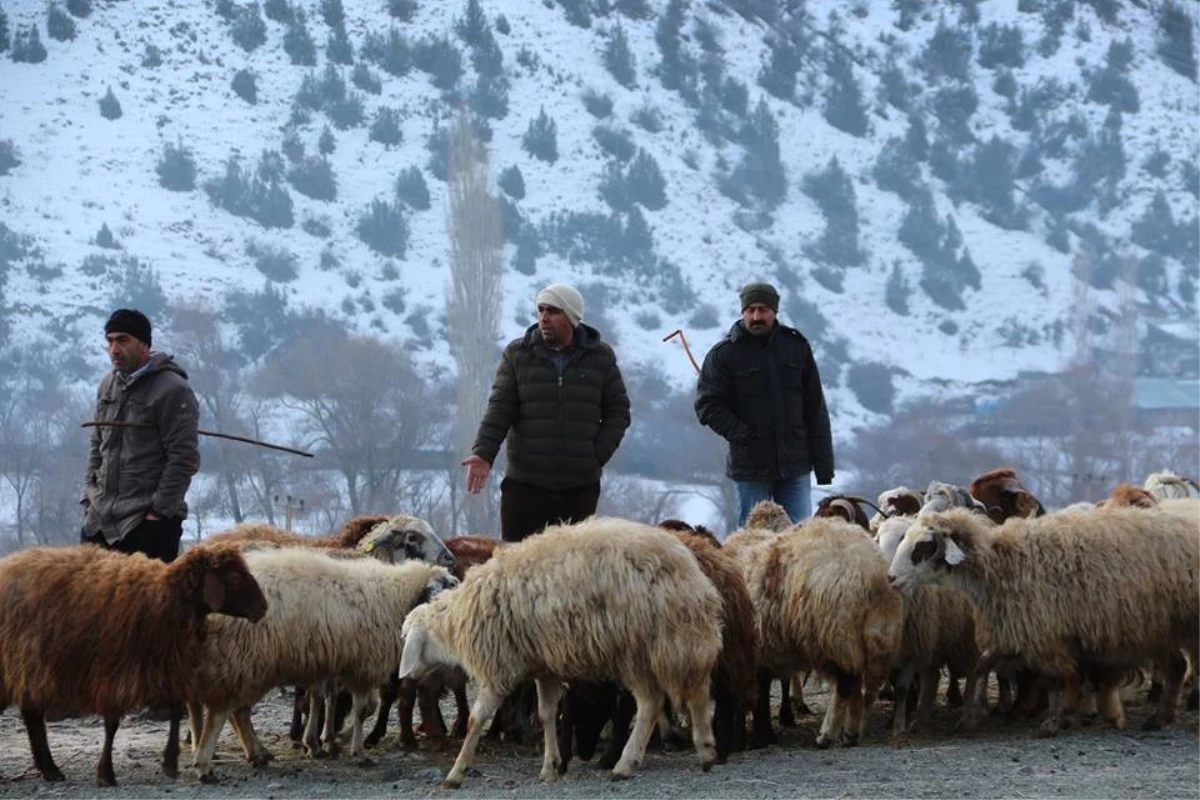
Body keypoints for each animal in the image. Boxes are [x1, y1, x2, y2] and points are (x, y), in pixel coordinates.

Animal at [0, 542, 265, 786]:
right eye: (233, 577)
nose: (263, 608)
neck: (165, 598)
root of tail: (9, 563)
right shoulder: (114, 673)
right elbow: (112, 724)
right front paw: (106, 774)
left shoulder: (165, 667)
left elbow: (175, 712)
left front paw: (170, 763)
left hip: (27, 669)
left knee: (32, 716)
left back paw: (50, 770)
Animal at [189, 546, 456, 777]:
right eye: (448, 586)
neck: (395, 597)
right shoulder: (362, 666)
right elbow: (363, 708)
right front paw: (355, 750)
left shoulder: (336, 665)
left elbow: (329, 700)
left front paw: (326, 742)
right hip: (246, 660)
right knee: (230, 710)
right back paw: (213, 760)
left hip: (248, 663)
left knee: (238, 711)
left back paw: (256, 754)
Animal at [400, 520, 720, 786]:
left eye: (406, 637)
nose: (407, 677)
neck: (456, 621)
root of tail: (688, 570)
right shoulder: (544, 668)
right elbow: (546, 714)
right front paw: (550, 767)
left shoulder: (498, 668)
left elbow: (476, 720)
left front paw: (456, 773)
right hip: (673, 644)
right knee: (694, 690)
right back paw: (696, 753)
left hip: (643, 647)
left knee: (656, 702)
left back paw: (639, 760)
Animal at [720, 515, 902, 748]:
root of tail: (870, 571)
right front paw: (764, 735)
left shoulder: (756, 650)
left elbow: (759, 695)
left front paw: (759, 737)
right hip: (874, 633)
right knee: (857, 687)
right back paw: (850, 734)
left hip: (836, 633)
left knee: (844, 685)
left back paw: (827, 735)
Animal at [888, 510, 1200, 734]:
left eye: (924, 546)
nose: (891, 578)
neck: (1001, 566)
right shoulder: (1021, 630)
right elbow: (984, 665)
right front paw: (973, 715)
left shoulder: (1045, 635)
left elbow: (1056, 681)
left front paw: (1053, 721)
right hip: (1158, 628)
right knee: (1176, 666)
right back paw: (1160, 718)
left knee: (1178, 666)